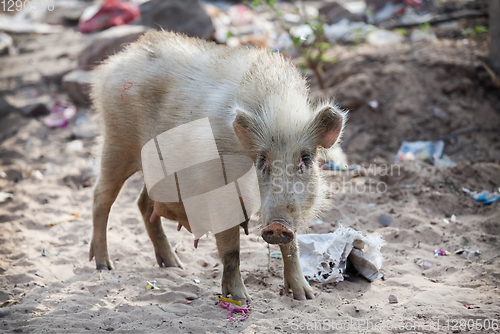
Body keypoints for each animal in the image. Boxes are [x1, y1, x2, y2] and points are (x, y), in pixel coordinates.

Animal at [90, 30, 346, 302]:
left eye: (305, 158)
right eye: (261, 158)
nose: (277, 225)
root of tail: (116, 62)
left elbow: (292, 247)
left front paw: (306, 297)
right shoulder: (221, 196)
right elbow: (231, 249)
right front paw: (242, 299)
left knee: (143, 203)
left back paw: (174, 265)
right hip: (116, 143)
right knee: (101, 197)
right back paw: (104, 266)